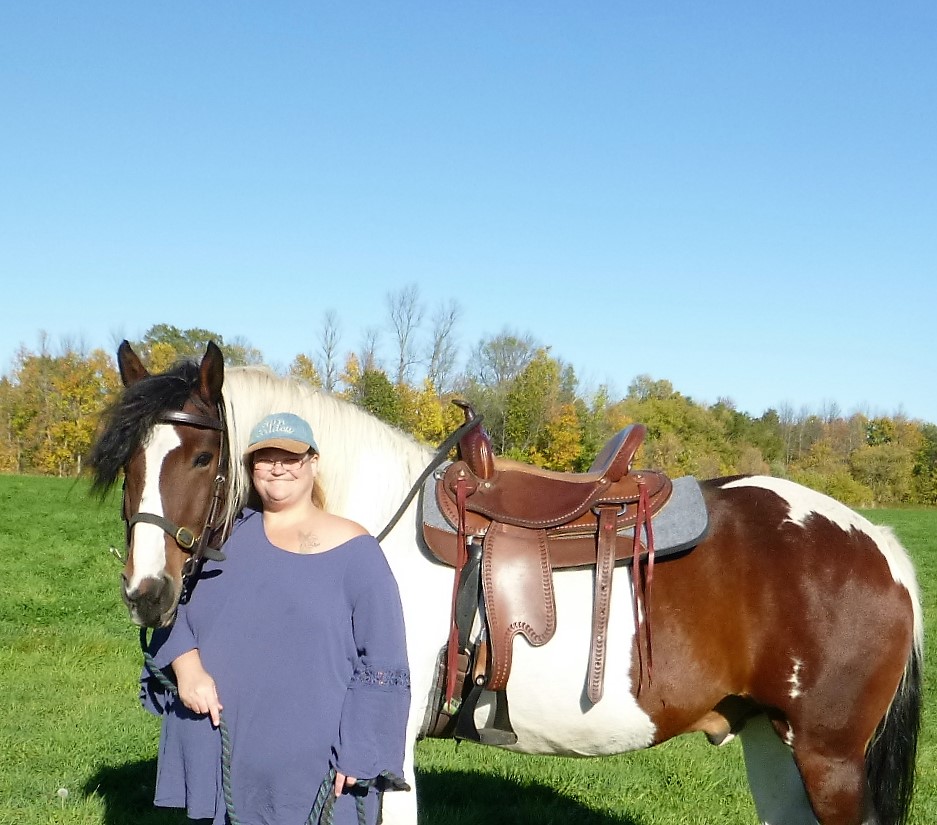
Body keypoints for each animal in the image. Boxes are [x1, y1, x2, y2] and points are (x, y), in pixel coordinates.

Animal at [88, 342, 923, 825]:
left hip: (827, 759)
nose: (146, 591)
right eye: (127, 459)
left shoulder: (381, 743)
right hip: (772, 745)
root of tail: (878, 544)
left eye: (202, 457)